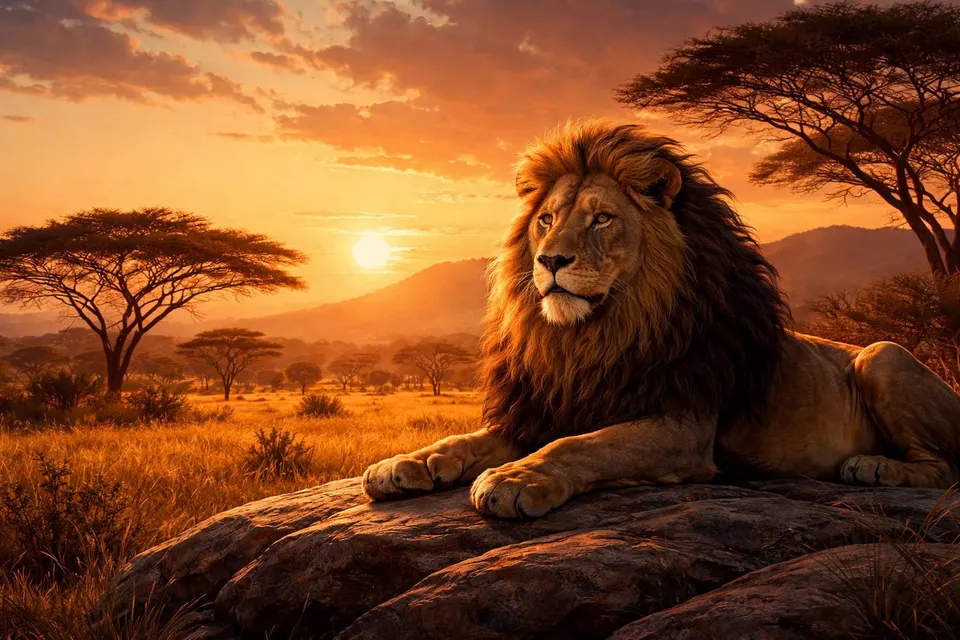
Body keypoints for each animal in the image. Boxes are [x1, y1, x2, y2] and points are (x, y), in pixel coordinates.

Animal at [362, 119, 960, 520]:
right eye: (546, 220)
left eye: (601, 219)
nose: (550, 261)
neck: (593, 336)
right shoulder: (545, 409)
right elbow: (463, 439)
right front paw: (404, 463)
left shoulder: (682, 425)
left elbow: (585, 446)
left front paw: (515, 478)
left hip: (882, 356)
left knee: (944, 468)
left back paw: (874, 467)